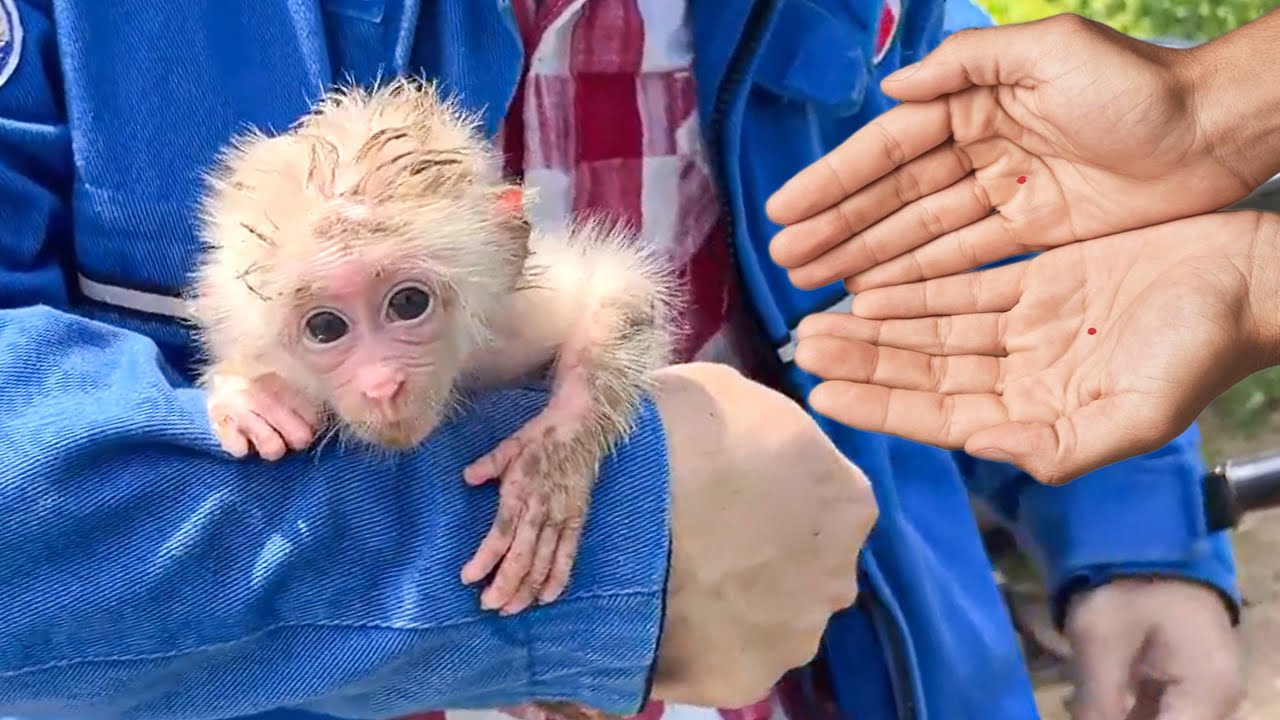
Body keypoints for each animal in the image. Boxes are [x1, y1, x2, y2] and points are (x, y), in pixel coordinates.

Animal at [186, 78, 681, 619]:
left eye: (408, 303)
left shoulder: (518, 321)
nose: (382, 385)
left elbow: (617, 291)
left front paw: (549, 461)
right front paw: (248, 394)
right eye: (325, 328)